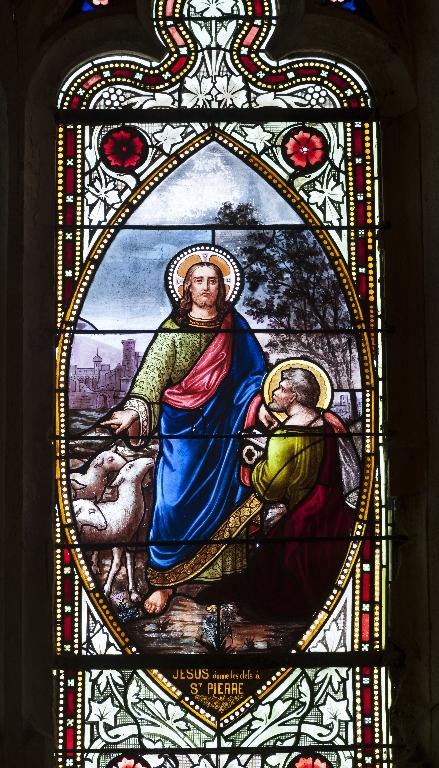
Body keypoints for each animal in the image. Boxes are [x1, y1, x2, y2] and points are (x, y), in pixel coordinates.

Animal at [73, 460, 154, 604]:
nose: (150, 460)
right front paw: (106, 590)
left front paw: (133, 593)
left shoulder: (130, 542)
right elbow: (116, 565)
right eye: (130, 466)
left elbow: (130, 565)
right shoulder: (118, 543)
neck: (125, 506)